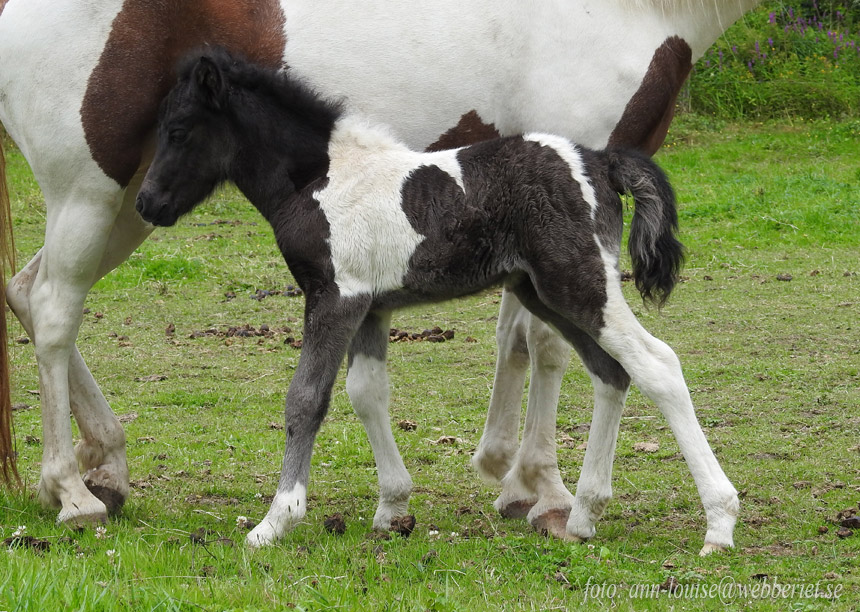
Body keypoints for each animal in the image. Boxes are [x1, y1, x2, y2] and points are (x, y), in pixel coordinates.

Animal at [0, 1, 756, 556]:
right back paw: (584, 515)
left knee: (656, 364)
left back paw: (716, 523)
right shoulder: (368, 305)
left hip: (580, 287)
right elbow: (366, 393)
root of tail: (598, 163)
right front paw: (392, 508)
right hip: (553, 292)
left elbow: (306, 400)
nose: (154, 201)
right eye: (161, 126)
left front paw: (275, 521)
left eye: (182, 128)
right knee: (613, 371)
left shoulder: (334, 299)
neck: (321, 175)